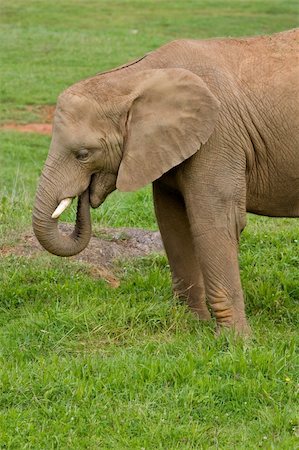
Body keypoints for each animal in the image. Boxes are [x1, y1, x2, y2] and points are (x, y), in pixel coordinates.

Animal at [31, 29, 298, 334]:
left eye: (83, 154)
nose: (85, 195)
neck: (136, 78)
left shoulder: (218, 136)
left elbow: (216, 222)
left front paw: (235, 339)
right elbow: (172, 222)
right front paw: (192, 326)